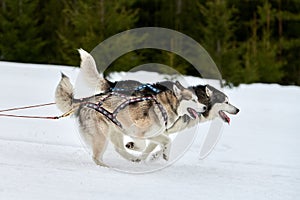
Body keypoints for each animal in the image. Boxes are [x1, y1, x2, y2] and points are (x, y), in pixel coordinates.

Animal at [55, 52, 206, 167]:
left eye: (197, 99)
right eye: (193, 100)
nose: (204, 107)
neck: (165, 105)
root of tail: (85, 101)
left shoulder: (155, 133)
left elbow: (166, 141)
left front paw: (164, 155)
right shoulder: (136, 130)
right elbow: (143, 143)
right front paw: (134, 146)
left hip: (114, 132)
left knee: (118, 149)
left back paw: (132, 158)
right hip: (102, 137)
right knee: (97, 157)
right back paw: (106, 166)